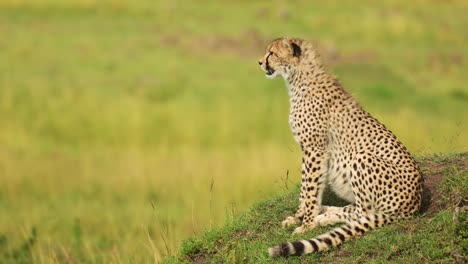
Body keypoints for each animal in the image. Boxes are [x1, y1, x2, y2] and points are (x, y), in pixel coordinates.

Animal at [258, 36, 422, 256]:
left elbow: (310, 190)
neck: (298, 77)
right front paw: (298, 216)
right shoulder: (308, 150)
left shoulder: (315, 149)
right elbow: (305, 188)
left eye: (272, 53)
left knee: (364, 212)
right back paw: (326, 211)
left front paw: (306, 224)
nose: (260, 62)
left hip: (361, 158)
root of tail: (415, 204)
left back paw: (324, 218)